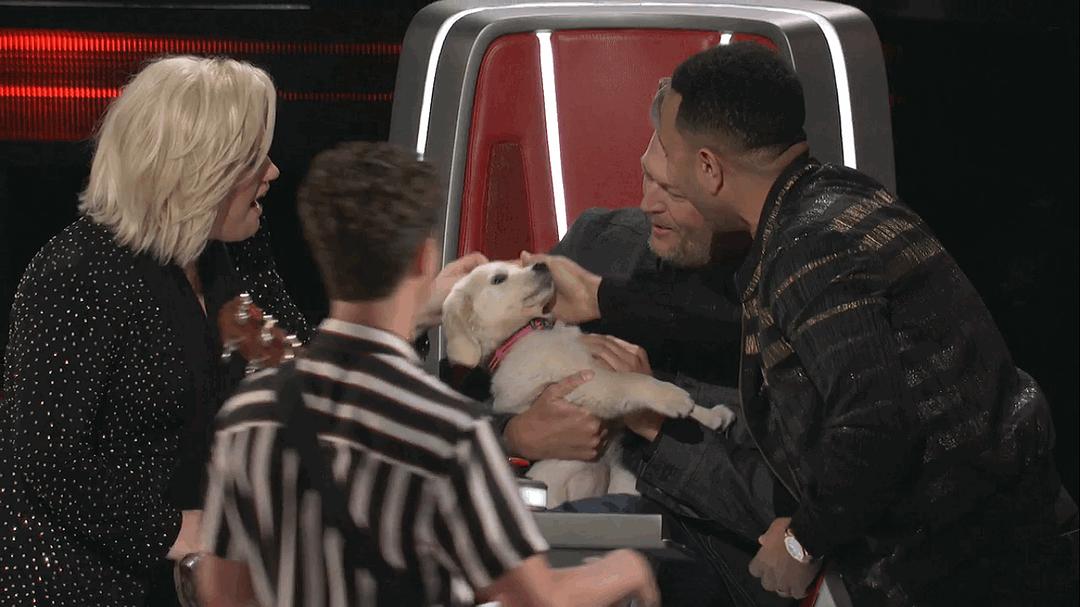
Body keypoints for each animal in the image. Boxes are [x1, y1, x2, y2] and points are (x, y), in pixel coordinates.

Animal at [441, 260, 735, 507]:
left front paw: (709, 415)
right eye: (499, 279)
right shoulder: (590, 385)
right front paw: (674, 398)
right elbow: (634, 380)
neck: (526, 331)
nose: (541, 263)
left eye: (520, 264)